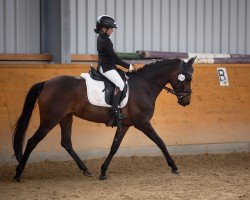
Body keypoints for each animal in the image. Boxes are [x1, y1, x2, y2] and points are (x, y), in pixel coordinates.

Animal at [12, 57, 195, 182]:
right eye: (186, 78)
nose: (186, 101)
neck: (144, 86)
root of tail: (47, 83)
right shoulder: (142, 123)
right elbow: (160, 142)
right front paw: (174, 167)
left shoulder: (125, 125)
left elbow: (114, 147)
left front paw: (103, 171)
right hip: (50, 119)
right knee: (32, 141)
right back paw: (18, 173)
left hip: (65, 118)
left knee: (66, 143)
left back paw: (86, 170)